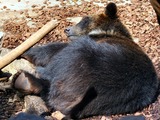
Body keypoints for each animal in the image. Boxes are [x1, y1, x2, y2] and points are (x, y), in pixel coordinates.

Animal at [13, 2, 159, 119]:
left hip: (82, 61)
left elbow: (54, 49)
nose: (67, 29)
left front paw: (25, 52)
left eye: (84, 20)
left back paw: (26, 78)